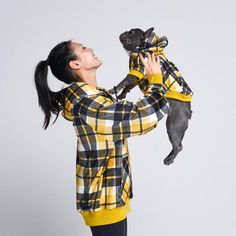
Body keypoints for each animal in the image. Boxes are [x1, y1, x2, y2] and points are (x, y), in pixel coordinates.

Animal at [109, 27, 193, 164]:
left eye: (132, 33)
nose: (125, 32)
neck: (143, 47)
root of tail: (188, 109)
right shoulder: (138, 75)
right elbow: (129, 85)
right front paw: (121, 95)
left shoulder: (139, 69)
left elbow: (125, 81)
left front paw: (115, 89)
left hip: (174, 125)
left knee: (178, 145)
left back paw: (169, 159)